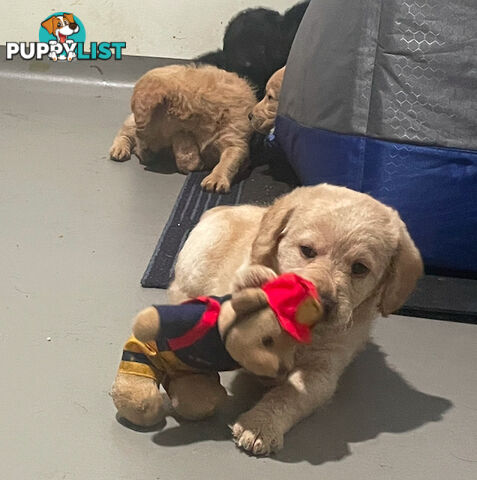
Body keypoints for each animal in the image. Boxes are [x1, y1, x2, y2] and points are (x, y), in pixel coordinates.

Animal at [110, 65, 256, 193]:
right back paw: (119, 149)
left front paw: (216, 178)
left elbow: (229, 159)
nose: (142, 154)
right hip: (129, 124)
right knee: (124, 133)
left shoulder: (236, 139)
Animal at [169, 184, 422, 454]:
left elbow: (289, 395)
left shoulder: (323, 371)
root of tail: (221, 209)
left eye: (359, 268)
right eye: (307, 251)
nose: (322, 303)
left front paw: (261, 424)